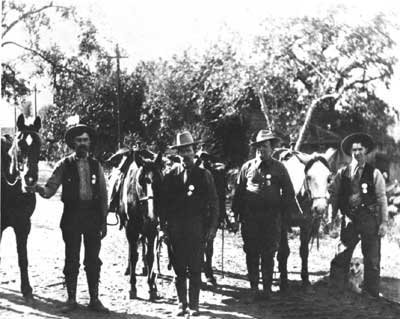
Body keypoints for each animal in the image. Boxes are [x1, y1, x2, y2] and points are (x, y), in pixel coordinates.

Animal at [121, 150, 163, 300]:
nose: (151, 215)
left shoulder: (152, 231)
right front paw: (132, 287)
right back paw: (128, 269)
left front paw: (151, 286)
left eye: (159, 180)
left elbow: (150, 256)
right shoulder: (131, 230)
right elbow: (133, 256)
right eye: (141, 181)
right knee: (132, 250)